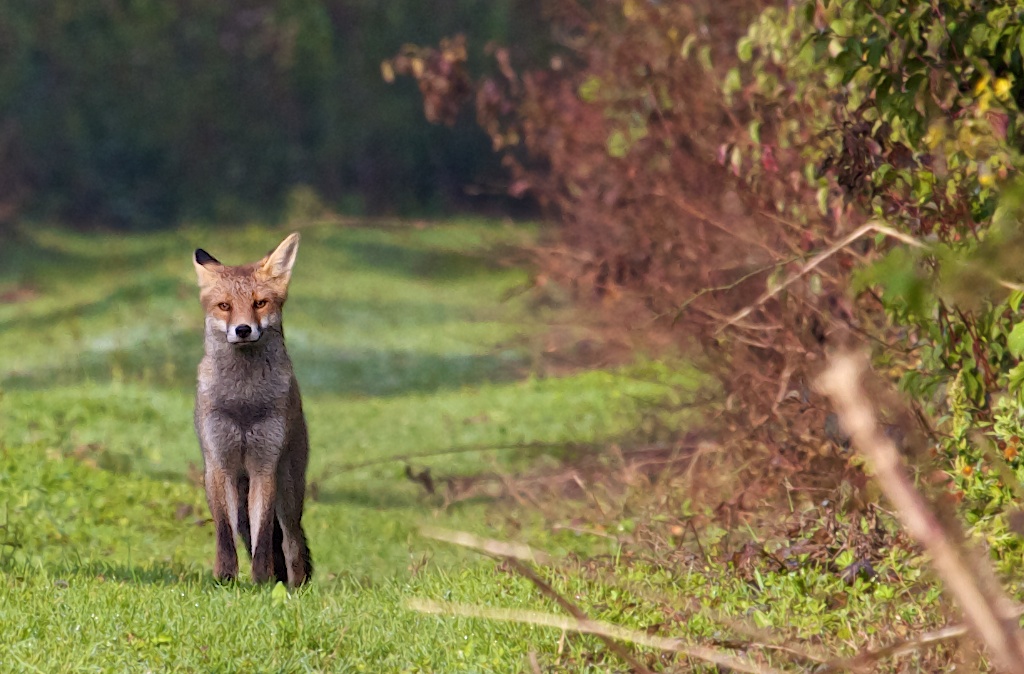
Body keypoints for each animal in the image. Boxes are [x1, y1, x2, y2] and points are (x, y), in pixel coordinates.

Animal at [192, 231, 311, 581]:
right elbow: (225, 533)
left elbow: (262, 538)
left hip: (290, 493)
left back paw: (296, 586)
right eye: (225, 306)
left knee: (292, 544)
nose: (243, 329)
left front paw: (262, 581)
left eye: (260, 303)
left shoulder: (264, 466)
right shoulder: (219, 464)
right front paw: (224, 579)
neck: (243, 402)